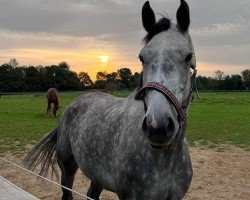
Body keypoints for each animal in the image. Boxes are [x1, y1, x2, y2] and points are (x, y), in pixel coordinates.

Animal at [23, 0, 196, 199]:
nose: (157, 126)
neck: (165, 160)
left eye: (188, 56)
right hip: (67, 168)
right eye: (141, 57)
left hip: (97, 176)